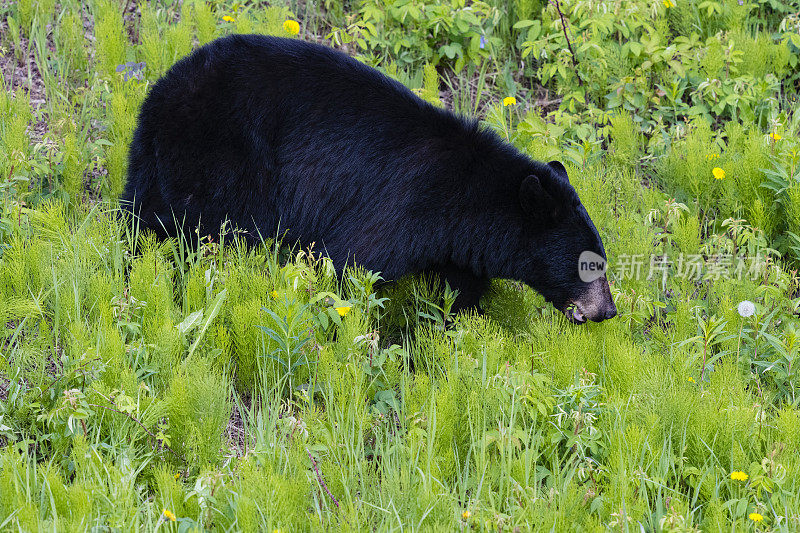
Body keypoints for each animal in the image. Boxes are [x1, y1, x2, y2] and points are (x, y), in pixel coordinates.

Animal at [120, 35, 620, 324]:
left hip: (156, 161)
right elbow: (353, 264)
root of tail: (159, 94)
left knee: (141, 214)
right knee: (202, 228)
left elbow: (460, 289)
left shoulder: (455, 245)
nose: (608, 311)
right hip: (220, 160)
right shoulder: (404, 208)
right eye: (590, 264)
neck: (467, 204)